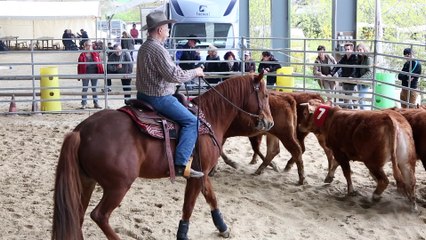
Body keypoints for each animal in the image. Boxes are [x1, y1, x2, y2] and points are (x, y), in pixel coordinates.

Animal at [52, 73, 272, 240]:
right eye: (265, 95)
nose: (269, 123)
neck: (209, 116)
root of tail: (81, 131)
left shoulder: (201, 173)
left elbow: (211, 197)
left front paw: (222, 227)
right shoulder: (195, 175)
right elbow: (188, 206)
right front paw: (182, 234)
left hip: (86, 181)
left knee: (78, 216)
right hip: (118, 186)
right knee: (99, 215)